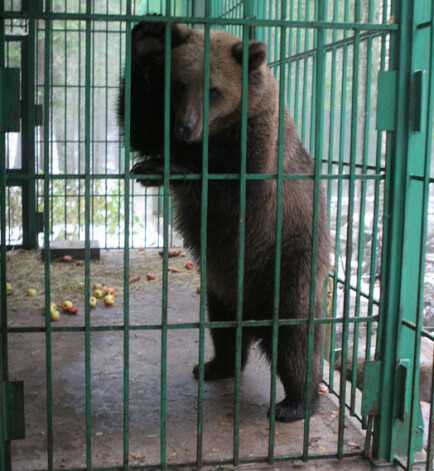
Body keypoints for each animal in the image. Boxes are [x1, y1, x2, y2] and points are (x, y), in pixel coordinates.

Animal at [117, 19, 330, 424]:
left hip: (290, 260)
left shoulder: (259, 144)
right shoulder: (166, 120)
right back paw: (216, 365)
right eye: (180, 83)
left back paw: (296, 402)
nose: (186, 126)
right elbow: (142, 122)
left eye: (213, 89)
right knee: (222, 326)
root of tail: (253, 313)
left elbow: (233, 181)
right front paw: (148, 39)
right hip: (221, 283)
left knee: (294, 337)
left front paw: (161, 168)